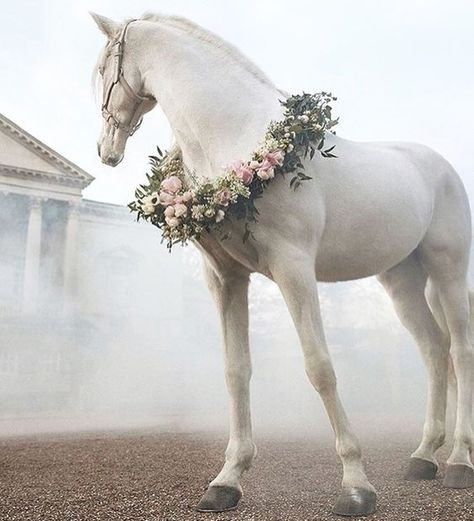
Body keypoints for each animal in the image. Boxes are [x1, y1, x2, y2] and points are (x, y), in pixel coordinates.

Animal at [90, 12, 474, 516]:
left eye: (101, 69)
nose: (105, 150)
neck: (237, 134)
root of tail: (441, 168)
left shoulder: (294, 269)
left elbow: (320, 368)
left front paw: (356, 486)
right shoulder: (226, 278)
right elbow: (236, 372)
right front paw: (227, 481)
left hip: (448, 268)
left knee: (460, 352)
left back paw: (459, 462)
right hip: (401, 281)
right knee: (433, 349)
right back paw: (423, 457)